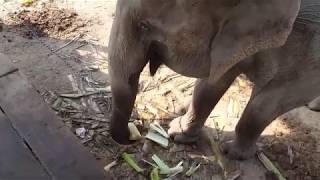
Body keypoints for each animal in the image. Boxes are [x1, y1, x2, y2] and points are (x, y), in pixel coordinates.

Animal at [107, 0, 320, 160]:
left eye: (144, 25)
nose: (131, 137)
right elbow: (213, 83)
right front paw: (178, 133)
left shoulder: (311, 50)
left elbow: (271, 101)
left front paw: (232, 153)